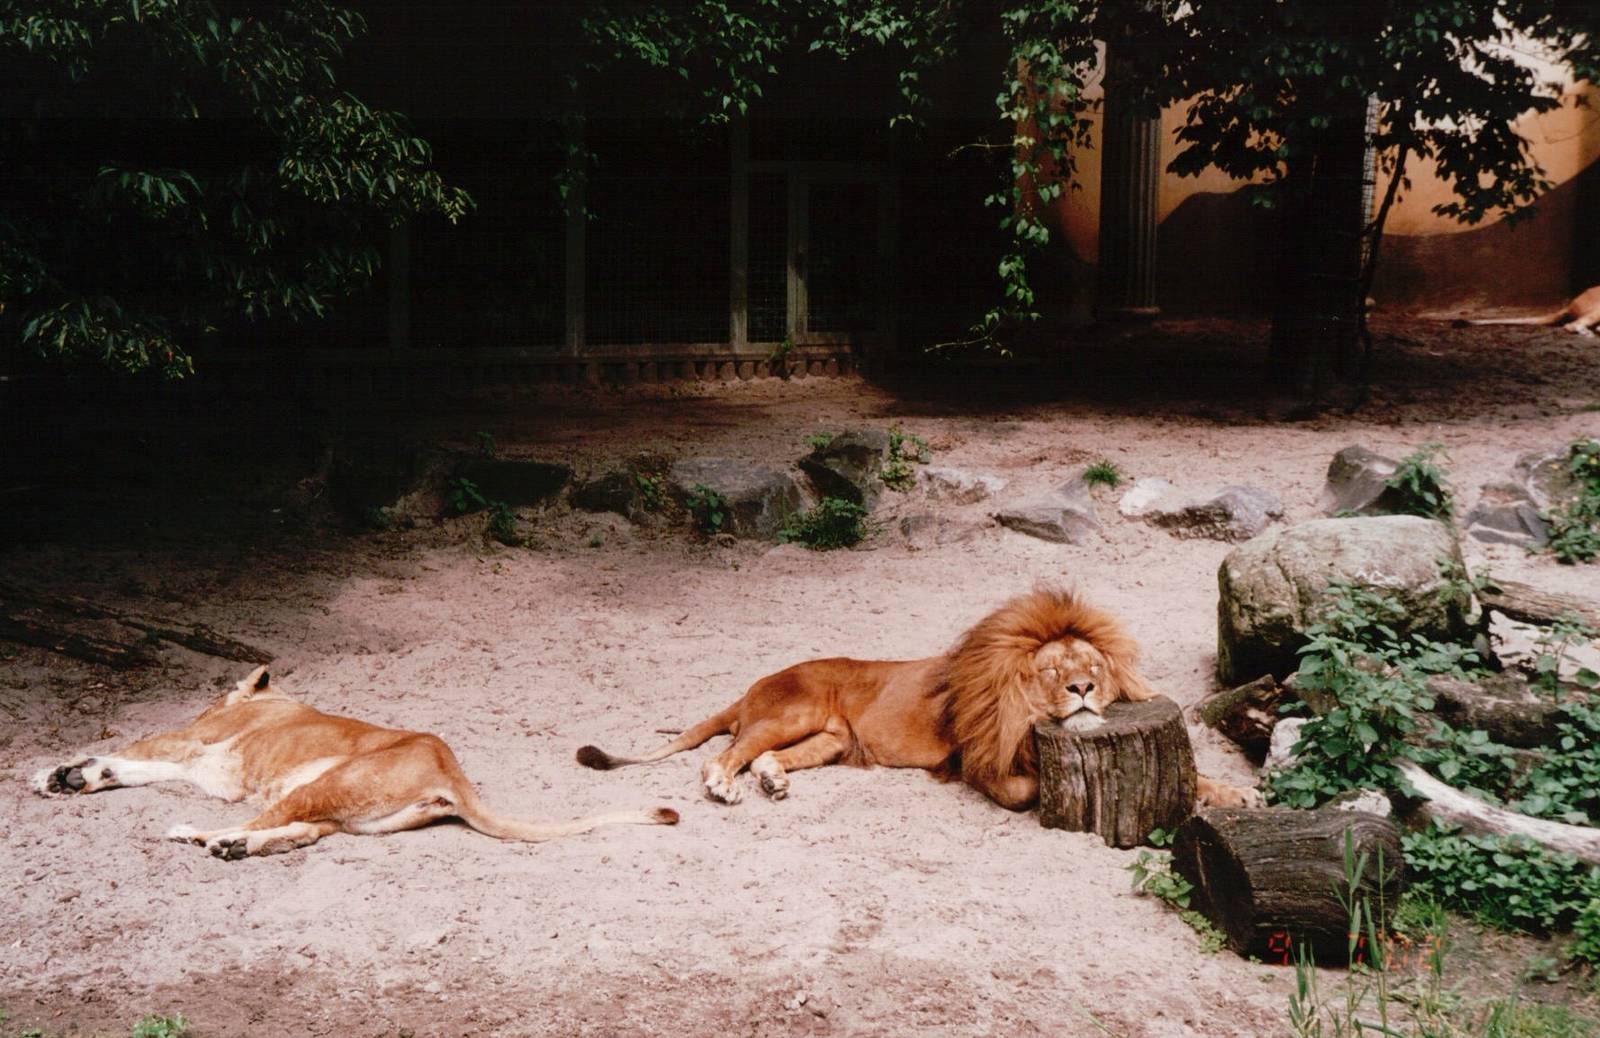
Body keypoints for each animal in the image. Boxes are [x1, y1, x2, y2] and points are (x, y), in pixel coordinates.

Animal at [34, 666, 678, 859]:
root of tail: (453, 775)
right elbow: (130, 765)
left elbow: (135, 749)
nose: (211, 701)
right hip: (344, 809)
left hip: (328, 782)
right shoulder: (204, 764)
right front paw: (74, 779)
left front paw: (58, 774)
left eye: (214, 698)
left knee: (271, 821)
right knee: (303, 832)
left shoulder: (195, 743)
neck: (269, 697)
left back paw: (203, 836)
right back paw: (233, 846)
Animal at [576, 587, 1260, 811]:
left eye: (1092, 665)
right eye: (1054, 670)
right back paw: (724, 784)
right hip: (795, 709)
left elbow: (1196, 781)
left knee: (765, 755)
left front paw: (1239, 794)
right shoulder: (978, 763)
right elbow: (1021, 788)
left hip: (830, 738)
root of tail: (752, 686)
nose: (1084, 690)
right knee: (723, 753)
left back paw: (772, 780)